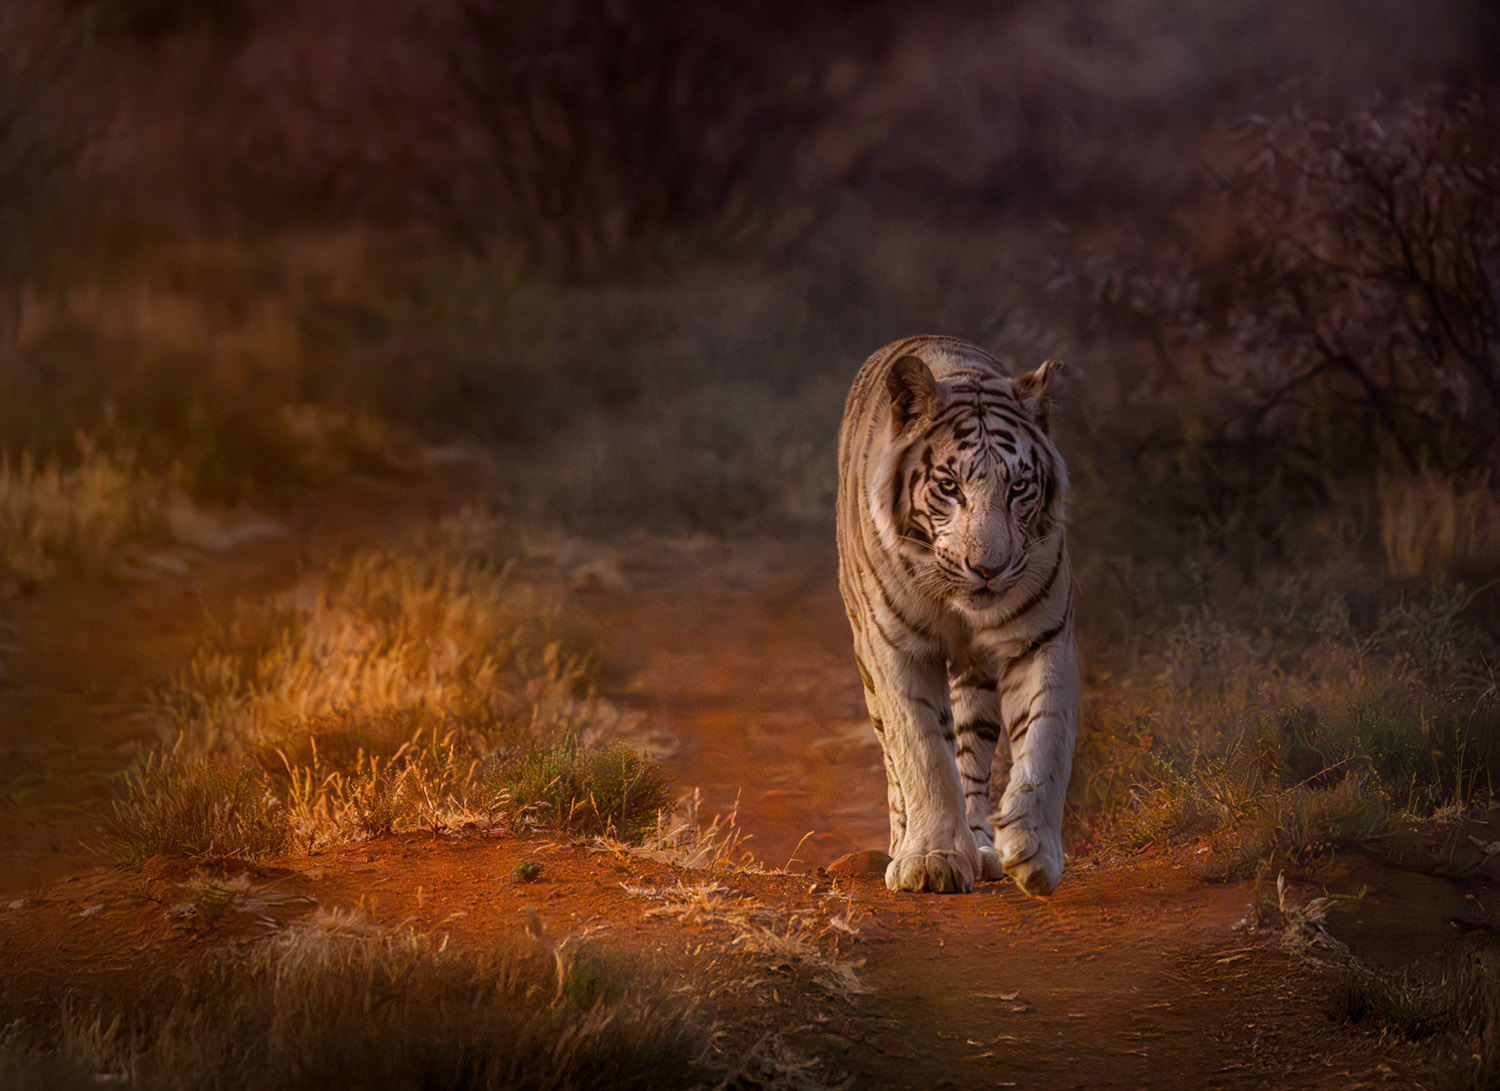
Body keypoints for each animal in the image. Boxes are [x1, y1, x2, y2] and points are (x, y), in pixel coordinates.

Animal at [836, 335, 1077, 896]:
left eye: (1019, 487)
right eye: (949, 487)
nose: (988, 568)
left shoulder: (1042, 636)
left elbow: (1047, 738)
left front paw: (1033, 849)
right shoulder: (895, 649)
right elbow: (922, 751)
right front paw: (930, 858)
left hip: (977, 678)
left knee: (971, 755)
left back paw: (981, 846)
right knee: (895, 760)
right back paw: (905, 842)